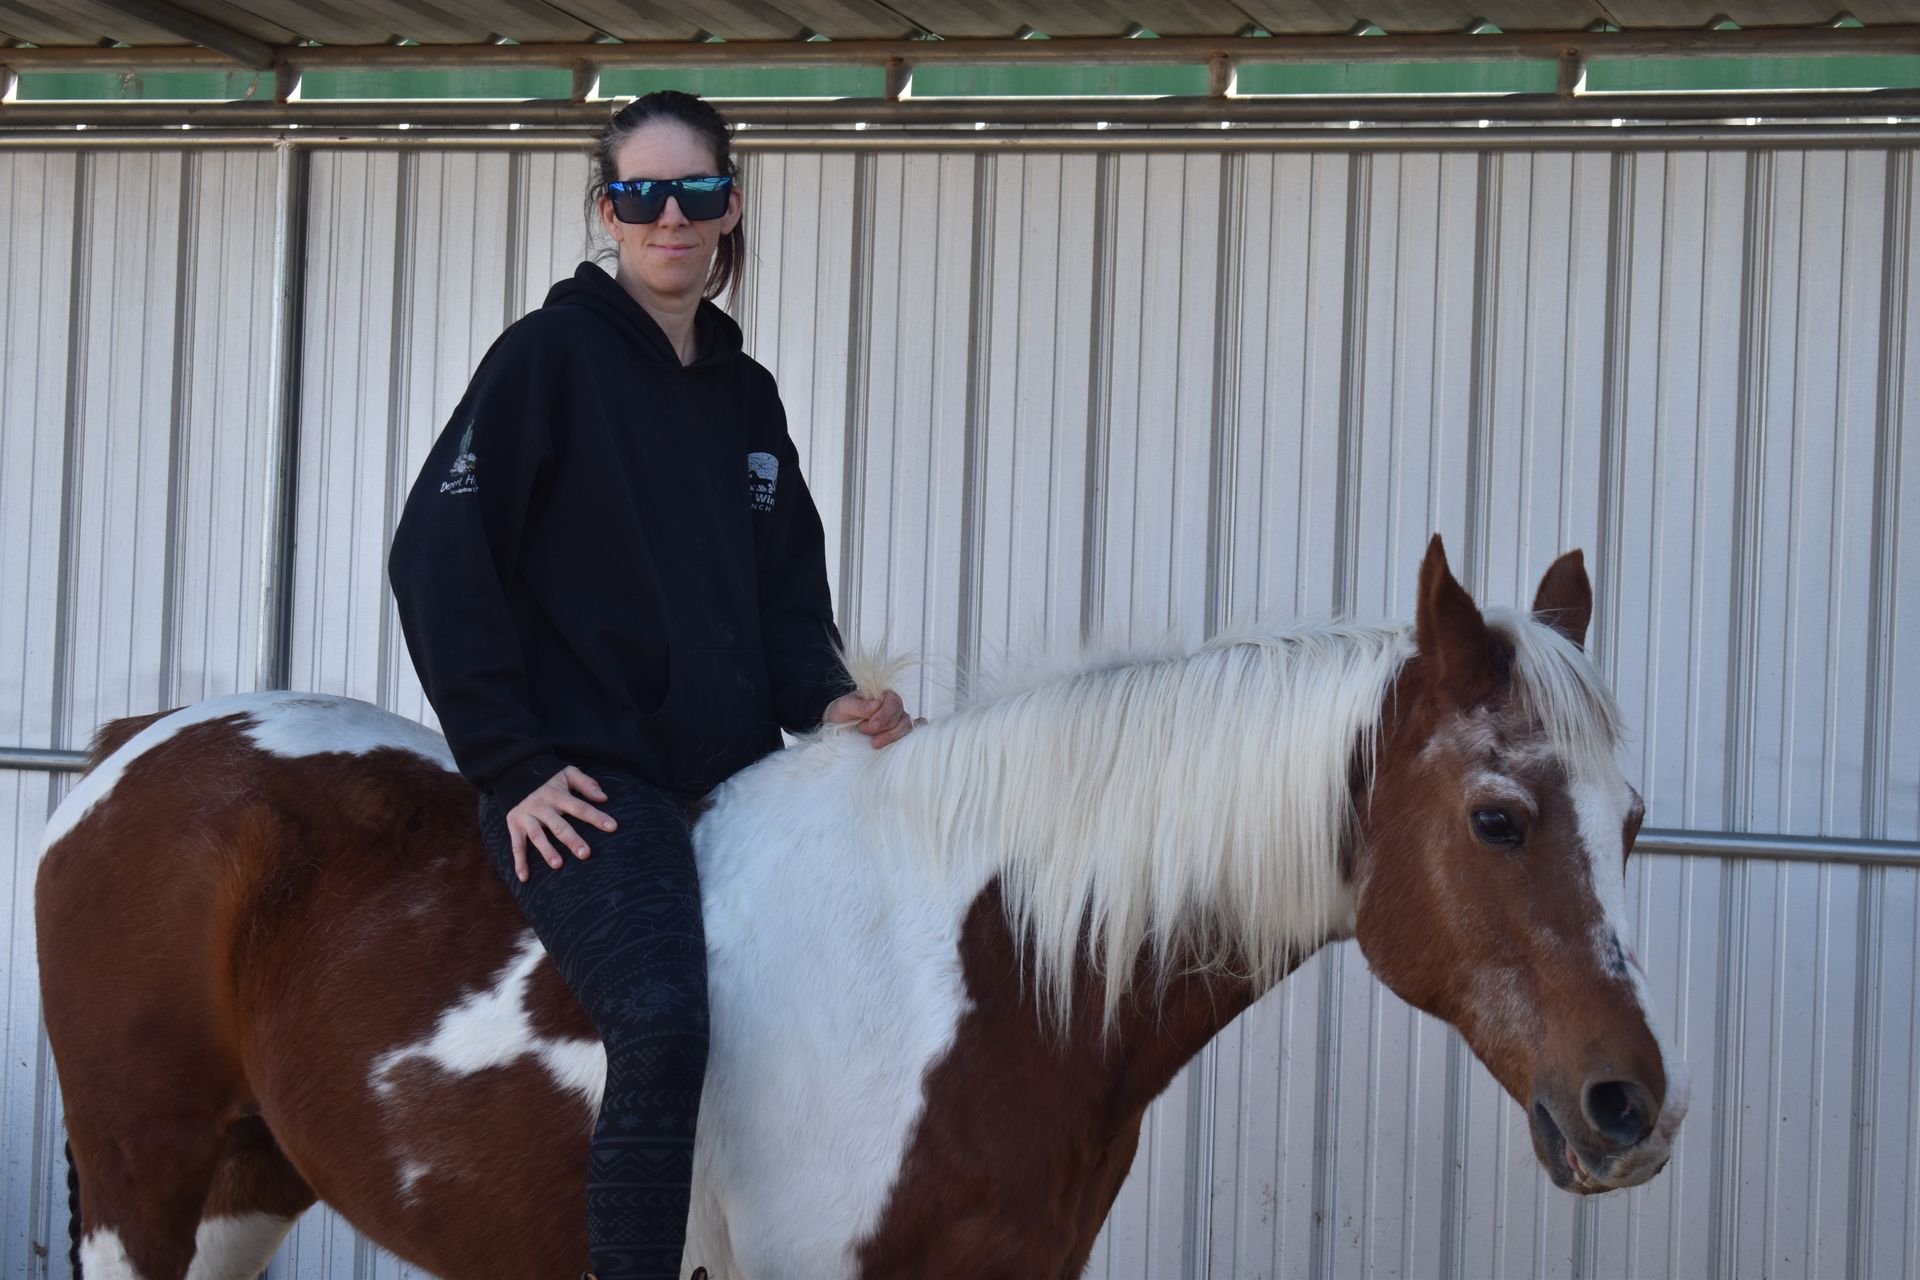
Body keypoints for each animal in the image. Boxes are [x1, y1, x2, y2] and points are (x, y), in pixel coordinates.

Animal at [35, 536, 1688, 1279]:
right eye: (1497, 818)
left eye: (1632, 821)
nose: (1630, 1109)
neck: (976, 973)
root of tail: (136, 748)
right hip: (141, 1180)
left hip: (248, 1183)